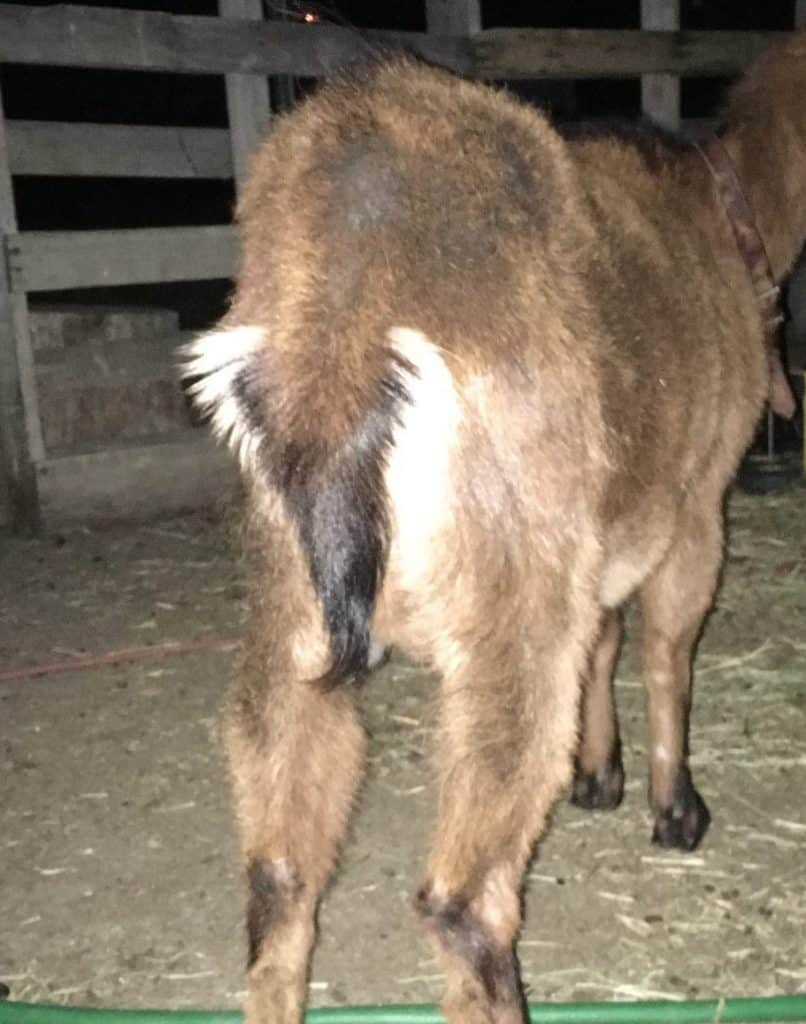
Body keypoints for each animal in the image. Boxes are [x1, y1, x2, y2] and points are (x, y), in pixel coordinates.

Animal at [182, 33, 806, 1024]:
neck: (725, 207)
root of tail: (342, 326)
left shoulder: (602, 538)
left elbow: (607, 637)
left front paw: (599, 776)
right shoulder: (697, 500)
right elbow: (668, 649)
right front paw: (674, 808)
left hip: (291, 608)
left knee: (279, 876)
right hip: (507, 613)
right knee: (465, 901)